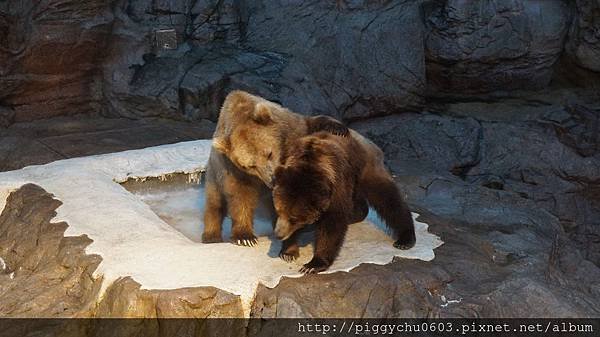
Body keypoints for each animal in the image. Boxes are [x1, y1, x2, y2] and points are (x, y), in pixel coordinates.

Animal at [204, 90, 350, 245]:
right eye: (250, 165)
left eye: (269, 153)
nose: (272, 179)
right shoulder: (233, 169)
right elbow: (241, 195)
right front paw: (245, 237)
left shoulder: (290, 129)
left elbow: (308, 124)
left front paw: (338, 129)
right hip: (214, 174)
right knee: (214, 204)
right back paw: (211, 236)